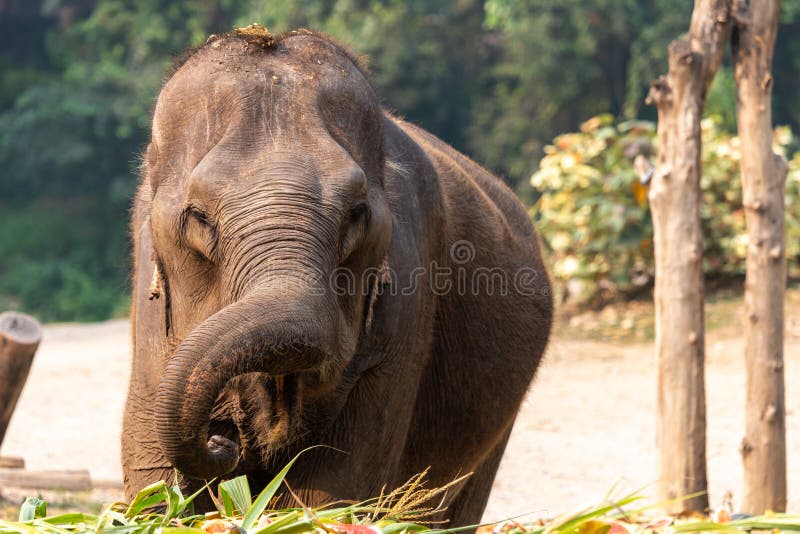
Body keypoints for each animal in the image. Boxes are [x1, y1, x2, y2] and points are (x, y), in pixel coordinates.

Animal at [122, 27, 552, 528]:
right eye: (199, 217)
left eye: (356, 214)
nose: (221, 441)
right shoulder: (151, 321)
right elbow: (151, 480)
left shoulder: (401, 316)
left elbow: (333, 494)